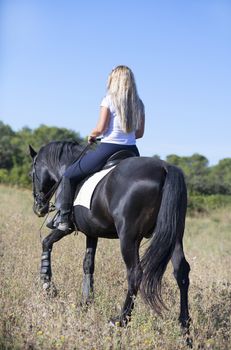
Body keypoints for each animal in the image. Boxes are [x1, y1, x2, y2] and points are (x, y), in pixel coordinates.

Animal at [29, 139, 190, 328]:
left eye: (32, 174)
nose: (39, 208)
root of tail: (165, 168)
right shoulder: (91, 232)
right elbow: (88, 264)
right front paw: (86, 301)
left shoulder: (67, 228)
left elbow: (46, 242)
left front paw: (48, 285)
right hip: (174, 236)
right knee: (181, 272)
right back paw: (184, 326)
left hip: (129, 237)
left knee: (135, 273)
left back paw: (121, 320)